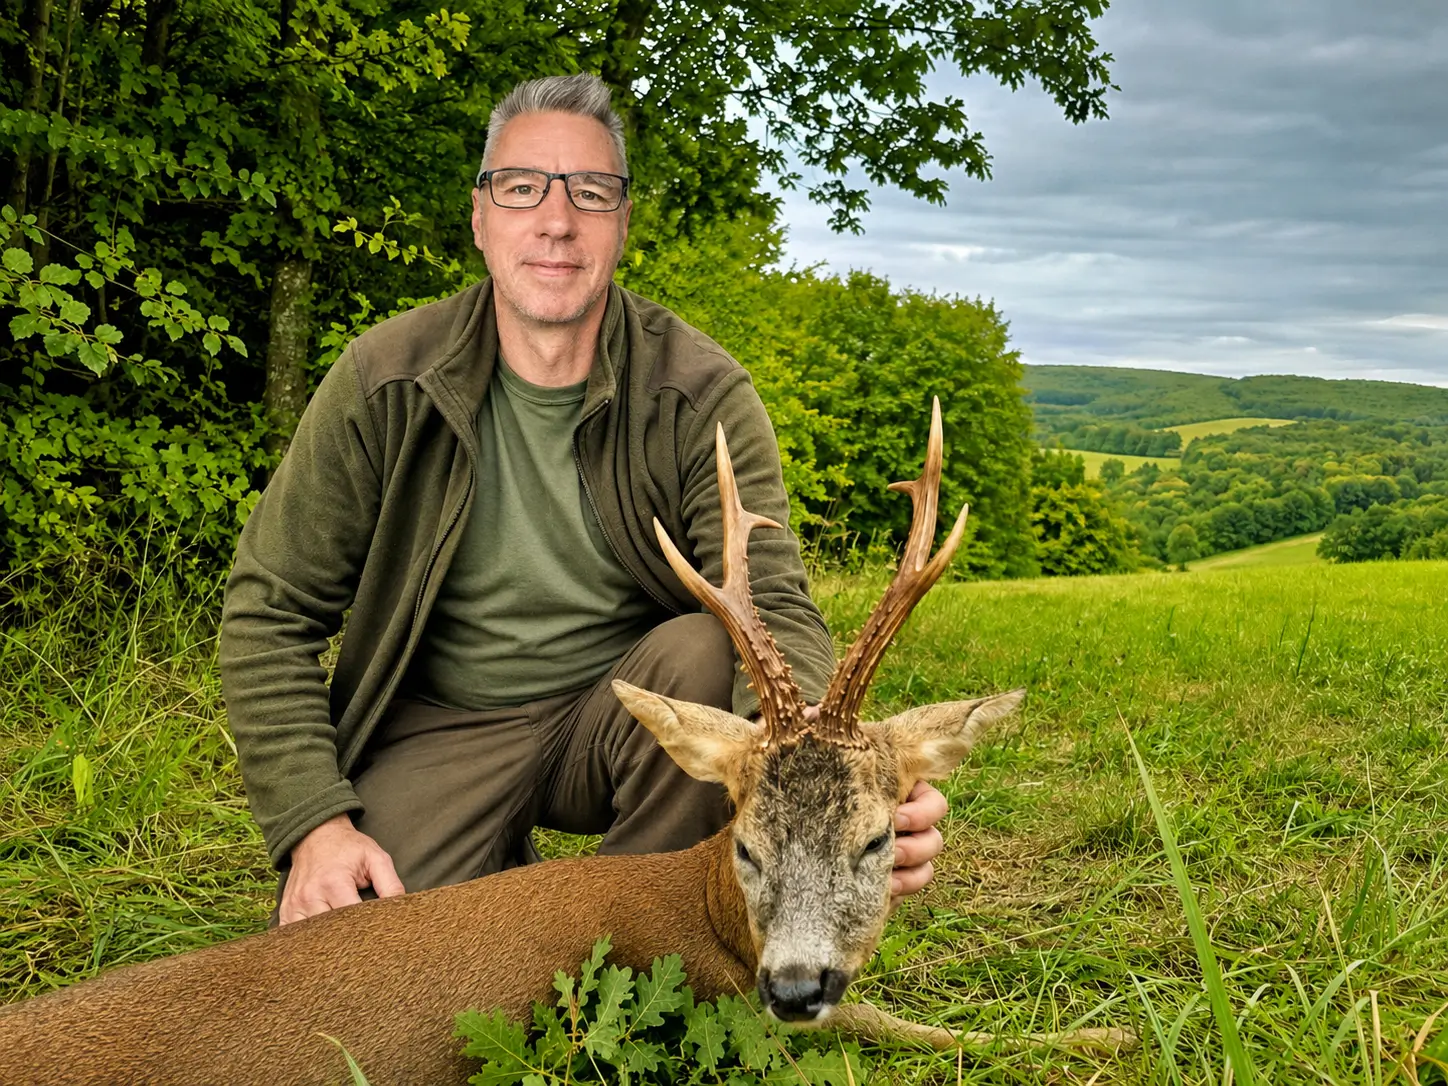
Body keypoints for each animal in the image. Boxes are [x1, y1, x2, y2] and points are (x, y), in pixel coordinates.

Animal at [0, 401, 1131, 1085]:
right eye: (746, 843)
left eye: (877, 840)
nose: (796, 984)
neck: (704, 916)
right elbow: (912, 1026)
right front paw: (1107, 1030)